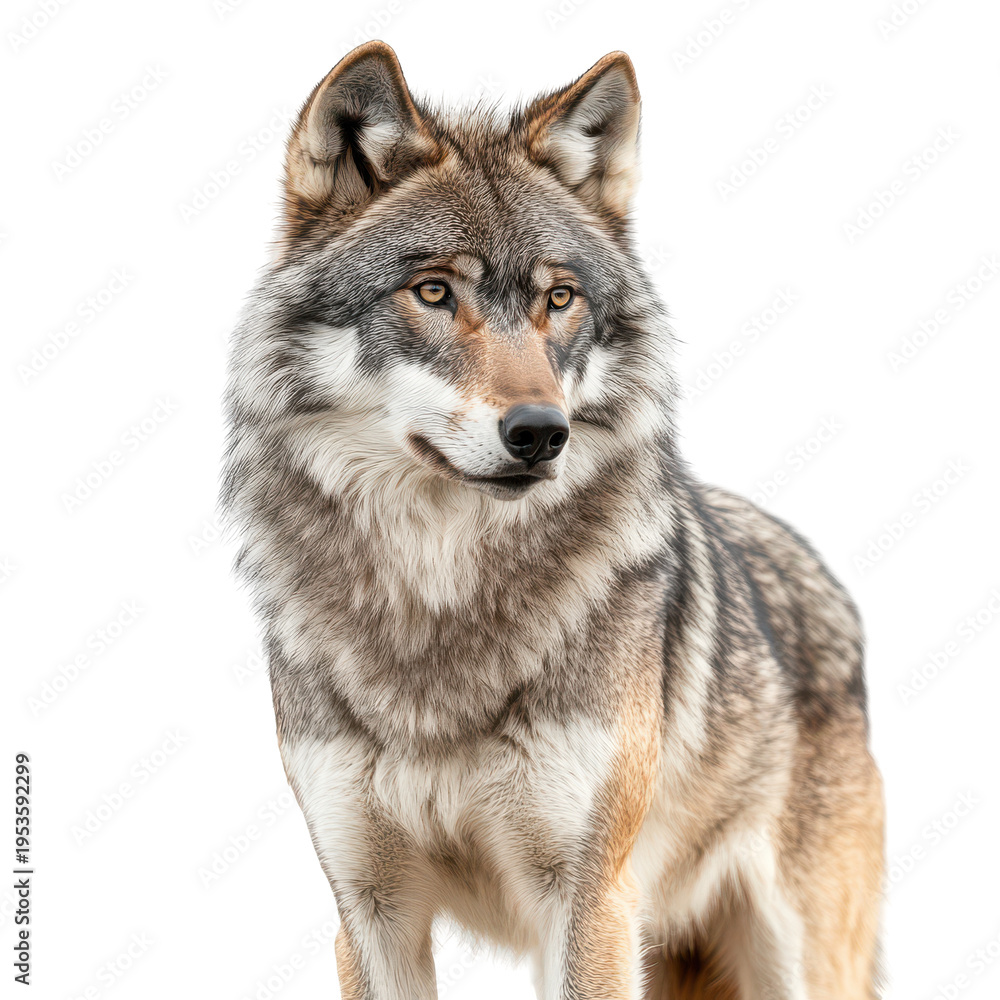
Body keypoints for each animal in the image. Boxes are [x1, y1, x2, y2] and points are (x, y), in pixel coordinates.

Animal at [222, 41, 884, 999]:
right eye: (433, 291)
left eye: (560, 300)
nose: (540, 433)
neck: (440, 605)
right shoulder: (370, 909)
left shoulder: (587, 898)